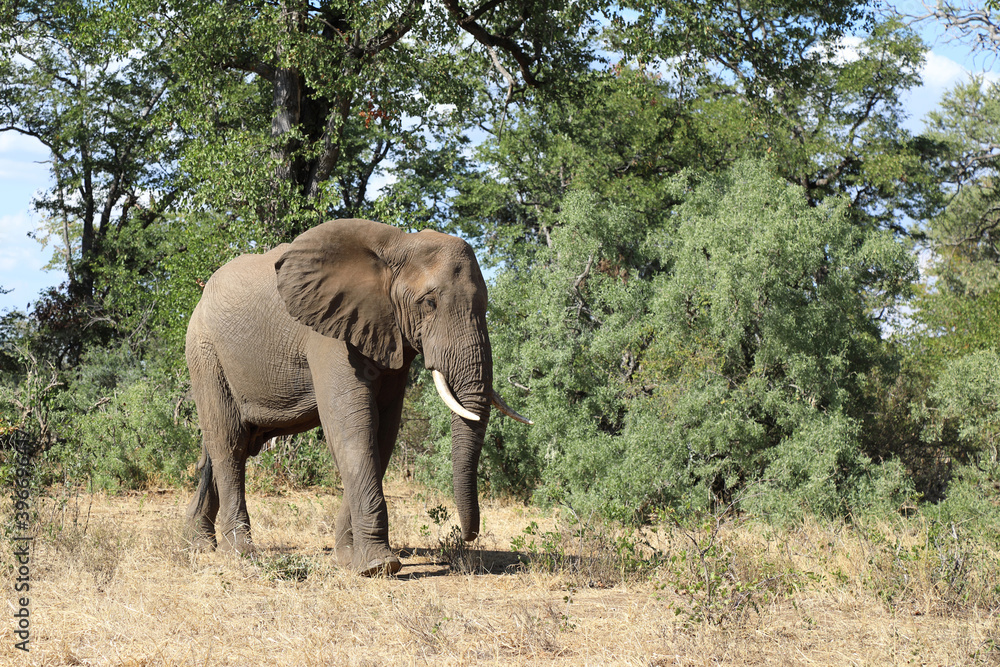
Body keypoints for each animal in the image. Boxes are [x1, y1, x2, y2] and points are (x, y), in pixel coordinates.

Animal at [184, 218, 530, 575]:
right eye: (429, 303)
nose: (465, 536)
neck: (400, 245)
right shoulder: (328, 331)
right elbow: (352, 426)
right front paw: (379, 566)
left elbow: (383, 431)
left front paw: (349, 559)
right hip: (205, 352)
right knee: (230, 443)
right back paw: (239, 553)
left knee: (219, 447)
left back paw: (199, 544)